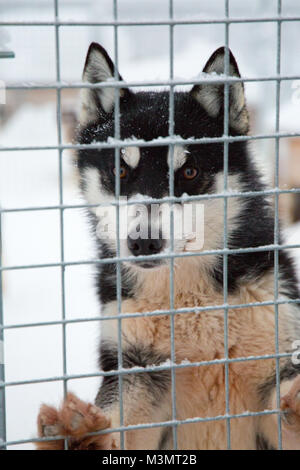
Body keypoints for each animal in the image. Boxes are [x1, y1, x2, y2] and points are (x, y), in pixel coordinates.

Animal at [36, 45, 300, 452]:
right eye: (120, 171)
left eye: (189, 172)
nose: (143, 241)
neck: (189, 302)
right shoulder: (137, 372)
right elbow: (119, 425)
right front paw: (77, 434)